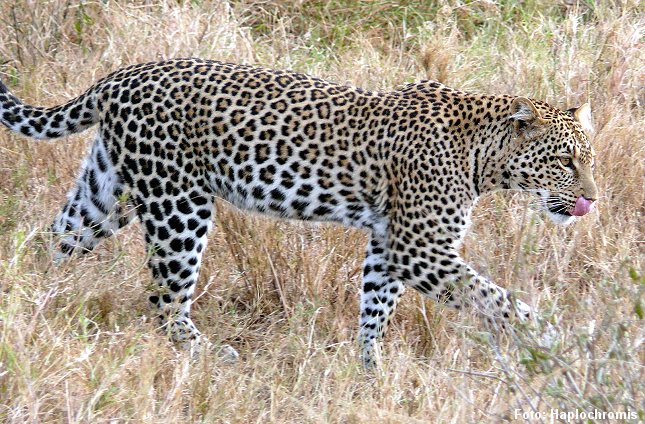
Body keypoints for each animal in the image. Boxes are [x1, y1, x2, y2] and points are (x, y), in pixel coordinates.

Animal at [0, 58, 598, 367]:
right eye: (565, 161)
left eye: (588, 160)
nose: (592, 200)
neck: (483, 157)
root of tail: (120, 76)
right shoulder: (420, 248)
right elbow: (495, 299)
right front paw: (554, 342)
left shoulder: (389, 244)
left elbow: (375, 307)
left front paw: (370, 370)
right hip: (179, 204)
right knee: (165, 301)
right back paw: (212, 356)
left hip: (107, 193)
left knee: (52, 240)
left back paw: (28, 306)